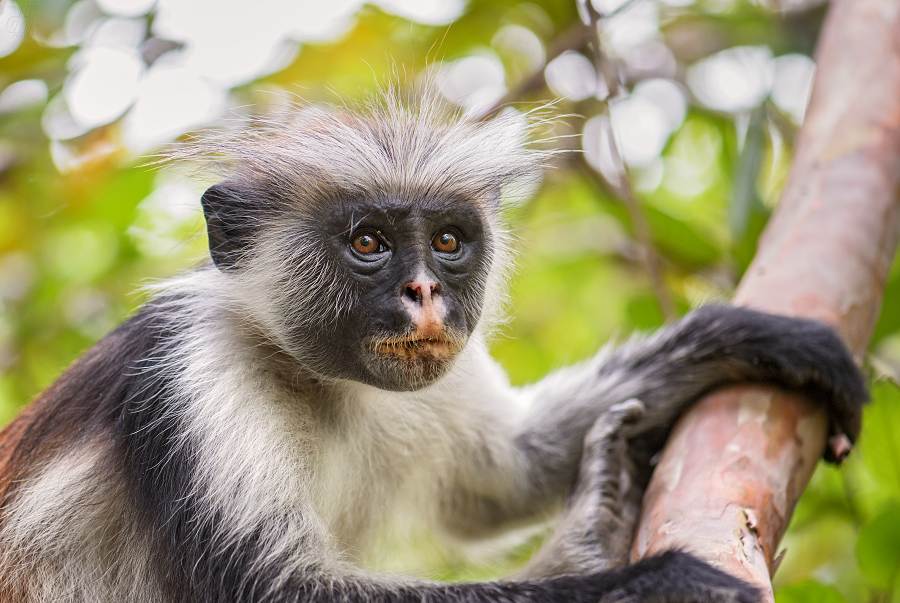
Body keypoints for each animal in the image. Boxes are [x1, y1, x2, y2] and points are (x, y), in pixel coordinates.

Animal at [0, 91, 868, 603]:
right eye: (368, 242)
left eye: (448, 241)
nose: (425, 293)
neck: (319, 379)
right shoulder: (188, 376)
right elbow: (286, 593)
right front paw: (645, 576)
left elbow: (501, 474)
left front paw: (753, 338)